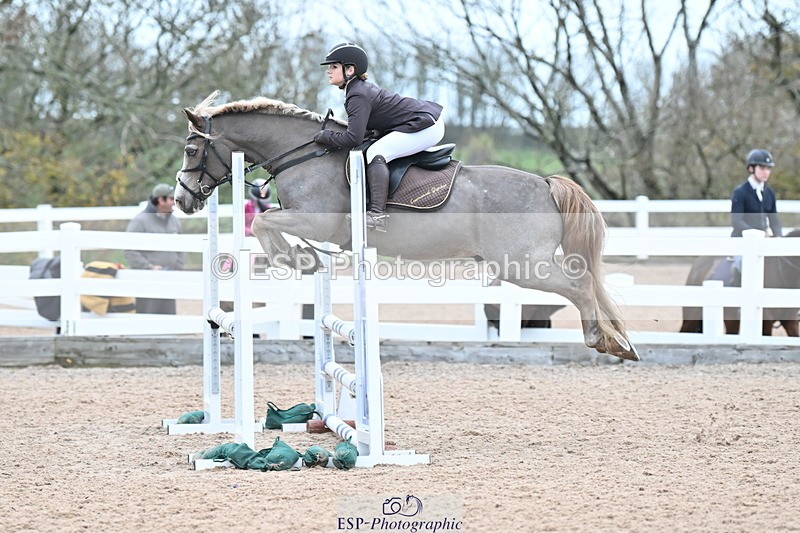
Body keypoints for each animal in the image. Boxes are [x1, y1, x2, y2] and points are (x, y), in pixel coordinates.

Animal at [173, 91, 639, 361]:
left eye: (192, 149)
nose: (182, 199)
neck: (303, 153)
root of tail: (545, 183)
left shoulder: (320, 221)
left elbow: (265, 224)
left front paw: (298, 259)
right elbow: (267, 224)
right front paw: (303, 258)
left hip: (520, 265)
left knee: (579, 285)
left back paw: (603, 341)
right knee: (585, 283)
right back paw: (619, 342)